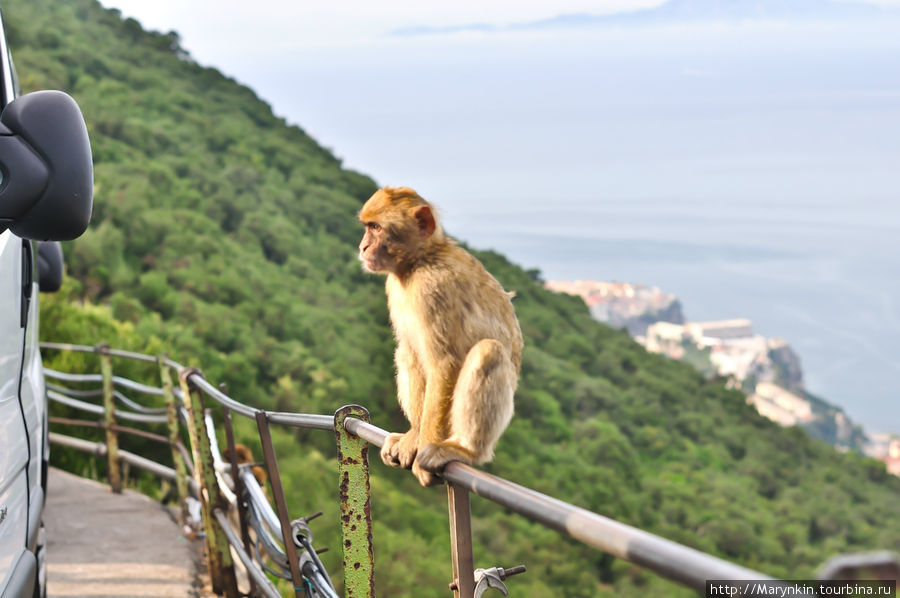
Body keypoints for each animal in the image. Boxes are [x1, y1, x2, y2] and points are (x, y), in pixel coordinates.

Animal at [358, 188, 524, 488]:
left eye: (375, 228)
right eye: (367, 227)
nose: (362, 247)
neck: (418, 263)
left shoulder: (434, 289)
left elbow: (445, 364)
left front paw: (423, 444)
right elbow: (412, 353)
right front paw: (414, 437)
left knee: (488, 352)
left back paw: (466, 450)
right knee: (404, 353)